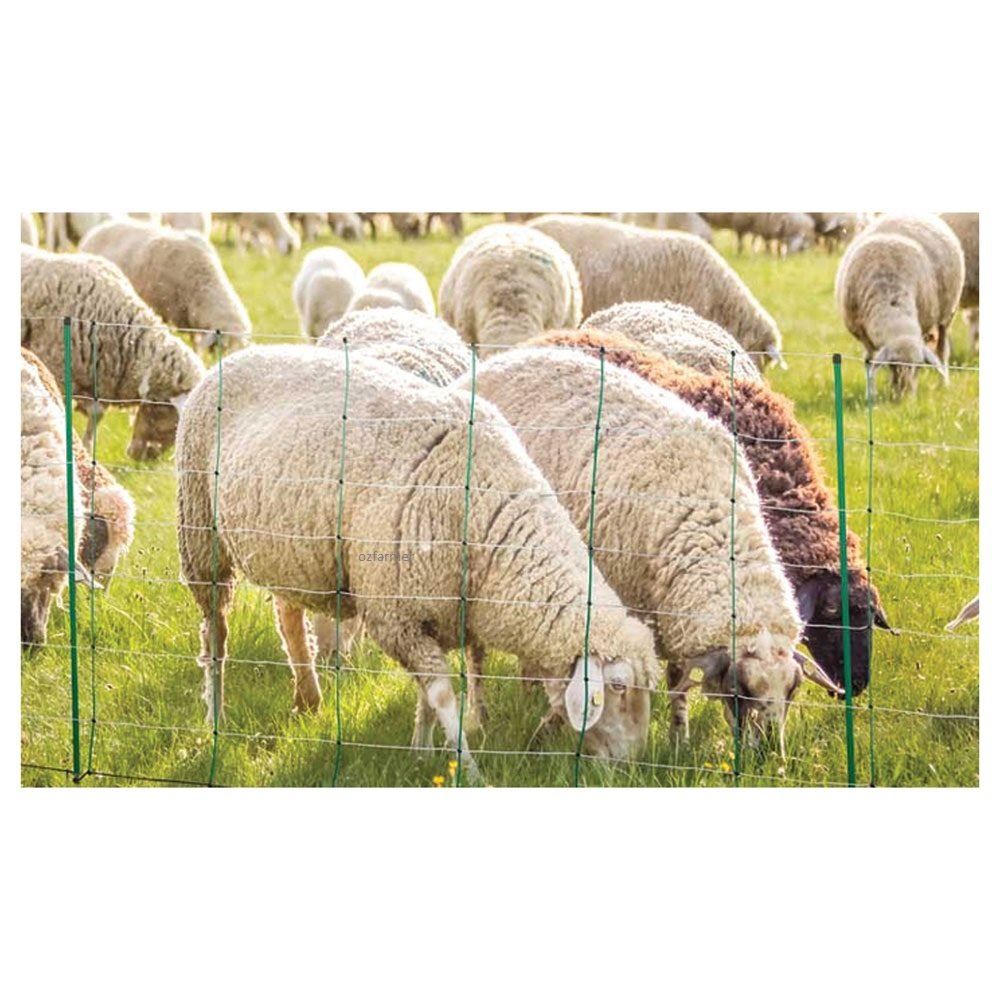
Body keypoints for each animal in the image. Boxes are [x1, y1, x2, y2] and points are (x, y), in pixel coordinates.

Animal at [21, 247, 205, 460]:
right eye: (174, 421)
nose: (143, 459)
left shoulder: (99, 383)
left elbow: (95, 418)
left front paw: (87, 448)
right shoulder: (57, 371)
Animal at [176, 345, 662, 776]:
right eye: (618, 687)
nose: (631, 765)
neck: (488, 517)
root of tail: (237, 355)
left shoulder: (433, 615)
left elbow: (426, 700)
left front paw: (421, 751)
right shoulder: (397, 616)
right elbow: (444, 698)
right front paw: (468, 769)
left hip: (286, 549)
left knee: (288, 615)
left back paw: (307, 697)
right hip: (200, 534)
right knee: (215, 635)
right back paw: (216, 716)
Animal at [467, 347, 829, 753]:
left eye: (793, 690)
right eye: (741, 691)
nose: (769, 755)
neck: (712, 521)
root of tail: (505, 357)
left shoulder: (673, 610)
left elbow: (677, 678)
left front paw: (678, 737)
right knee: (476, 651)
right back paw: (481, 715)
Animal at [835, 219, 961, 396]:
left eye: (919, 366)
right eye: (892, 364)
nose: (905, 395)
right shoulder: (863, 332)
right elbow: (870, 360)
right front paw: (871, 394)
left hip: (948, 313)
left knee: (942, 350)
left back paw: (944, 384)